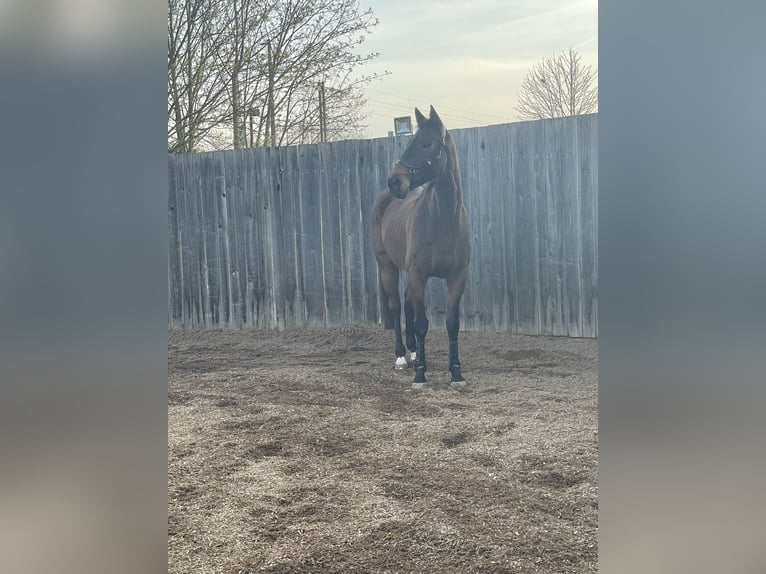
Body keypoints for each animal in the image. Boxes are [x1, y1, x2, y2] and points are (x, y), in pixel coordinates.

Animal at [374, 106, 472, 390]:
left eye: (427, 144)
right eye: (411, 142)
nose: (395, 182)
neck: (443, 218)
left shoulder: (457, 276)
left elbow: (451, 324)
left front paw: (456, 373)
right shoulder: (419, 274)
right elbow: (420, 323)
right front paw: (420, 375)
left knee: (407, 301)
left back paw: (416, 351)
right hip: (387, 266)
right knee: (397, 306)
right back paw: (402, 357)